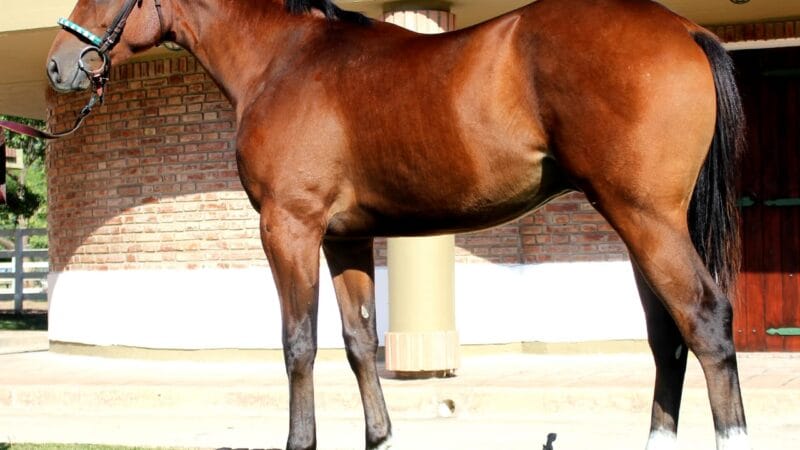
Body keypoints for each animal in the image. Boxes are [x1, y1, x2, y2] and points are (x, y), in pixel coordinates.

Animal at [46, 1, 748, 449]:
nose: (59, 64)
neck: (282, 59)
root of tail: (685, 27)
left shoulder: (290, 227)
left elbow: (299, 343)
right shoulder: (344, 237)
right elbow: (360, 341)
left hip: (644, 216)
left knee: (705, 320)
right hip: (641, 221)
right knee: (667, 336)